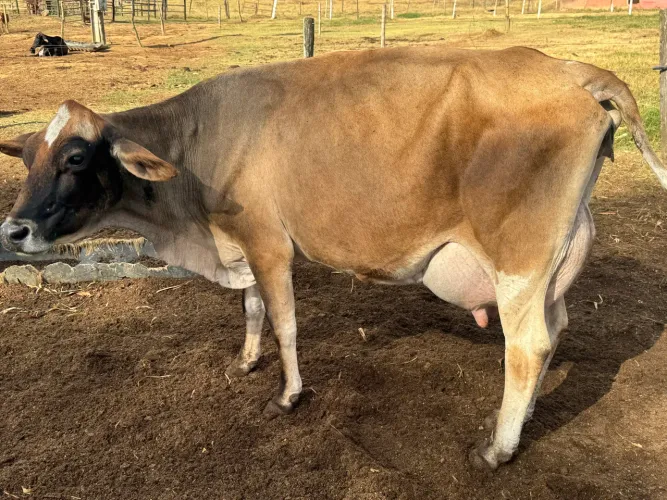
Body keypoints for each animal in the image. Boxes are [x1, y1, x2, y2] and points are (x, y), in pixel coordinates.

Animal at [0, 46, 665, 471]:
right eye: (28, 156)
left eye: (76, 158)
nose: (15, 228)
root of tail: (569, 69)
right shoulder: (243, 241)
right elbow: (251, 310)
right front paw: (246, 361)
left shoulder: (269, 242)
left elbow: (285, 322)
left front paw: (289, 394)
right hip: (554, 259)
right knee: (556, 331)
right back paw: (523, 420)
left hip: (519, 258)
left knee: (526, 347)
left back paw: (498, 448)